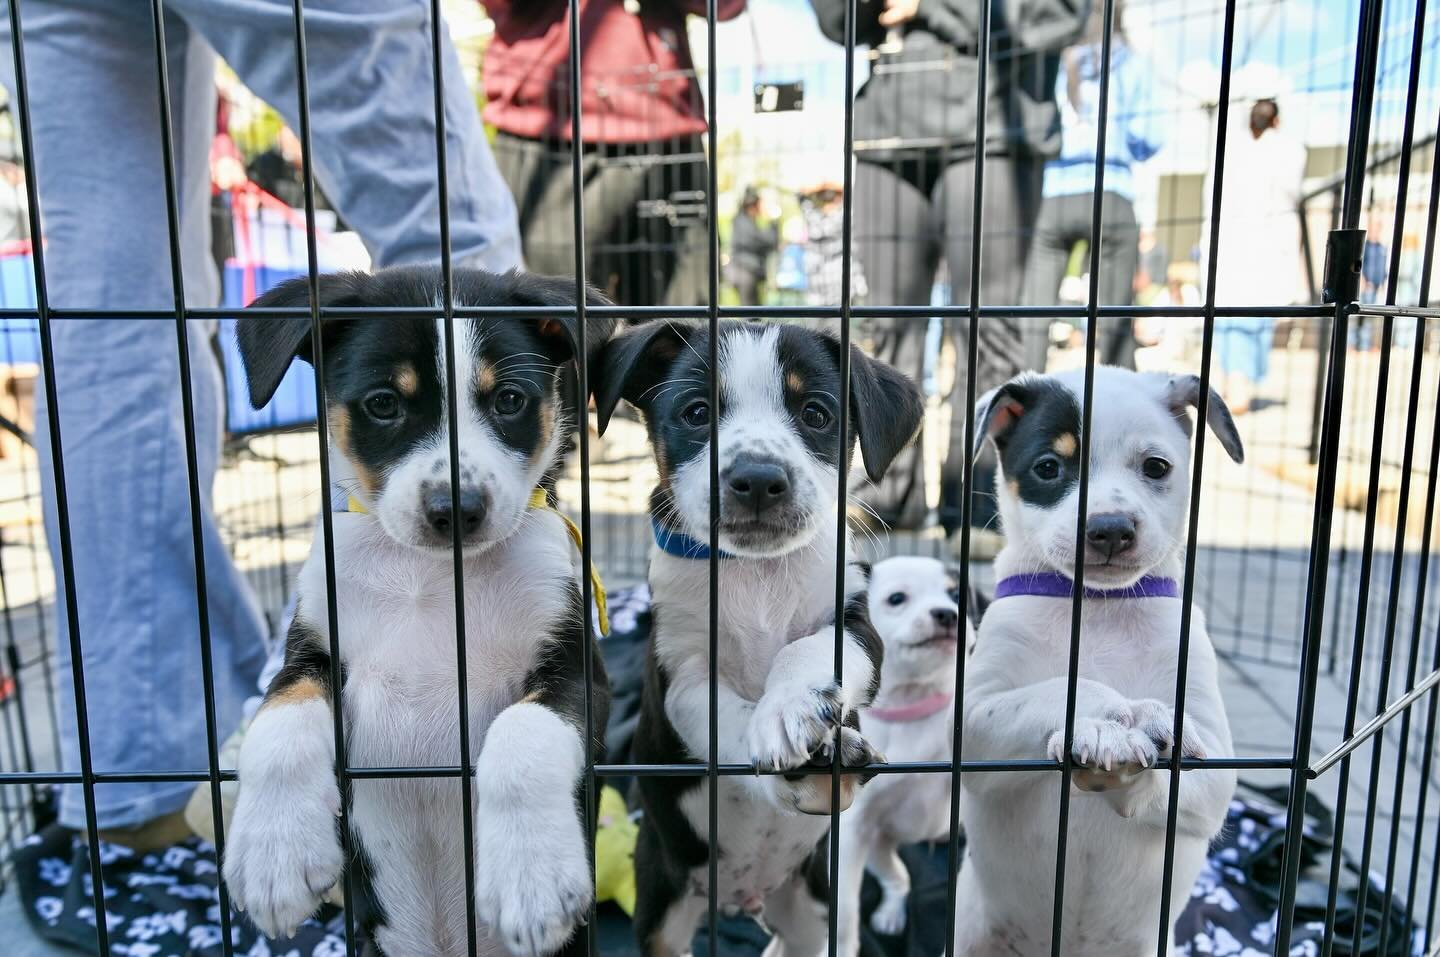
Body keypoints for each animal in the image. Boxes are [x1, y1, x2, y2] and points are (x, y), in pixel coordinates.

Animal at [223, 264, 613, 955]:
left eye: (508, 400)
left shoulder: (577, 672)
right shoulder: (312, 650)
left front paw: (532, 878)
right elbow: (280, 719)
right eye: (384, 403)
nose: (456, 508)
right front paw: (273, 857)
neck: (430, 579)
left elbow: (523, 732)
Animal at [593, 320, 921, 955]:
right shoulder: (679, 676)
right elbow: (730, 717)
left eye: (816, 414)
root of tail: (739, 898)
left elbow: (804, 651)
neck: (755, 572)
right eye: (697, 412)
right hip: (663, 904)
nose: (759, 480)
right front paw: (779, 731)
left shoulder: (855, 626)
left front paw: (793, 707)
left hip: (812, 906)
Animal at [956, 365, 1238, 955]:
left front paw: (1151, 722)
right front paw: (1113, 722)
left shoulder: (1215, 769)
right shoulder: (970, 724)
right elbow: (1060, 687)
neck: (1100, 606)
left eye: (1156, 467)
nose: (1110, 529)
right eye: (1048, 467)